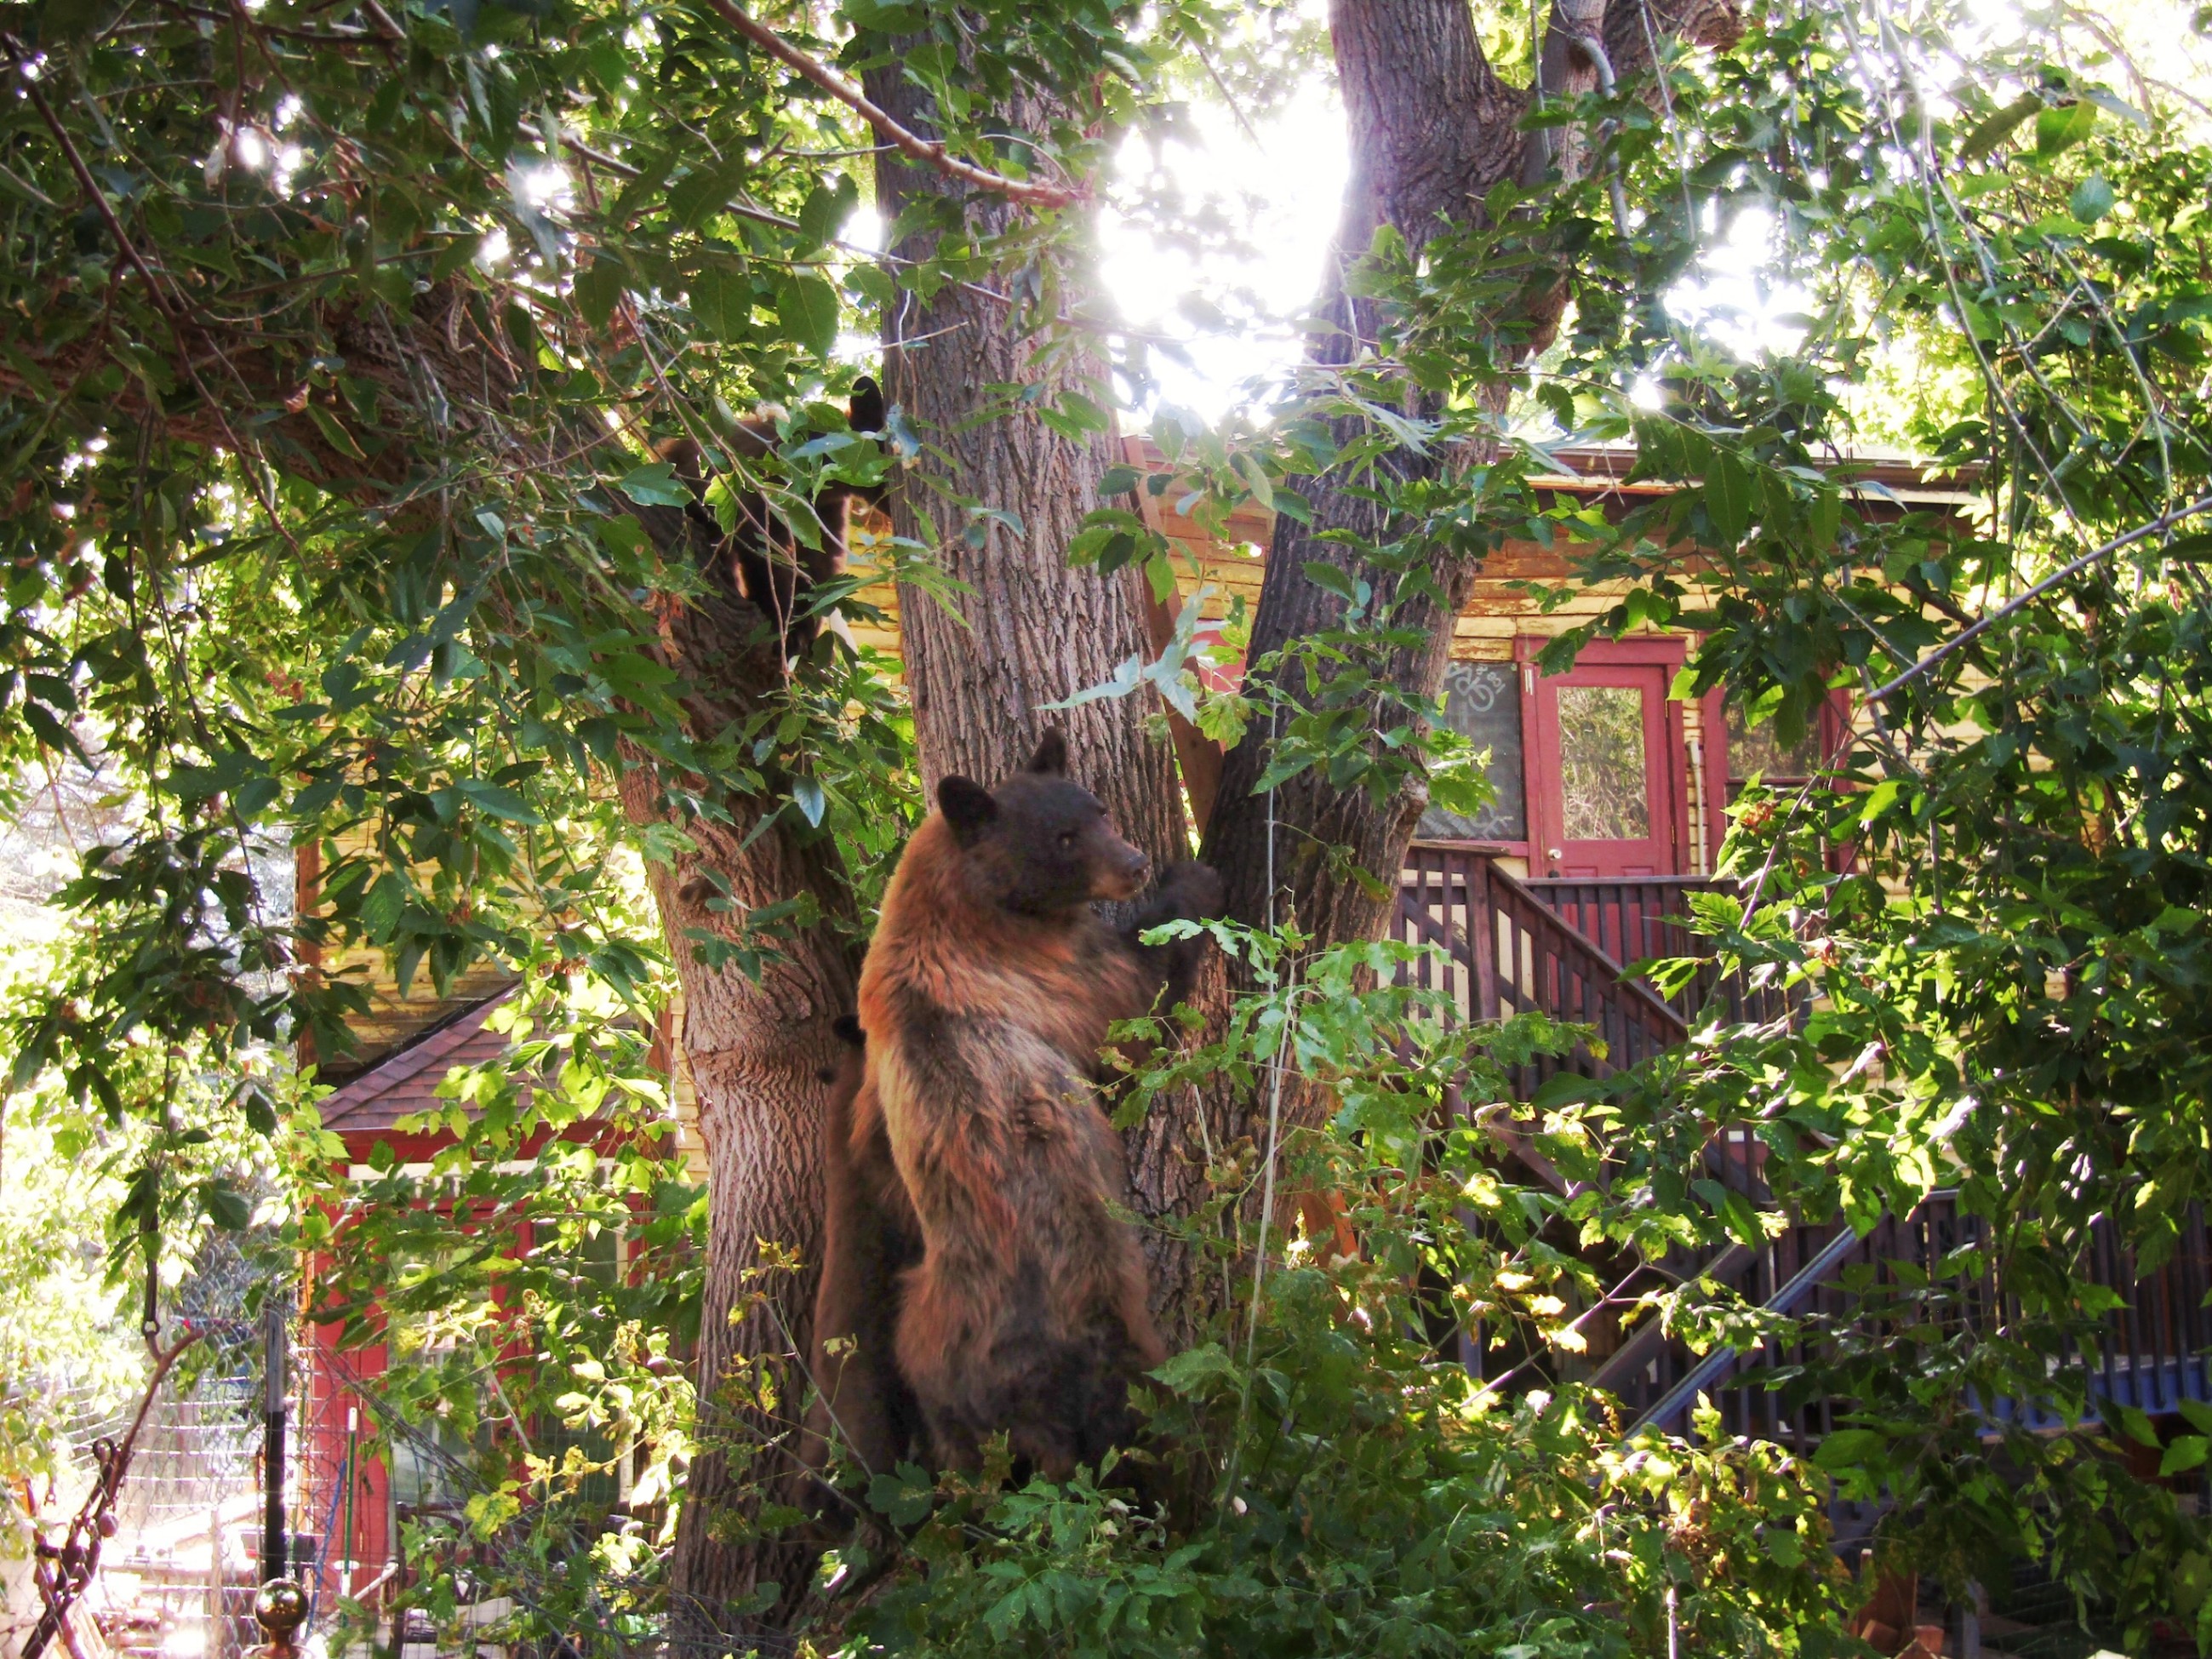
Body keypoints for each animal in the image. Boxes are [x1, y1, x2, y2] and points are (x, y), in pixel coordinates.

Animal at [658, 377, 886, 655]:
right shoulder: (761, 491)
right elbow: (766, 557)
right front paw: (780, 624)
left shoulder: (823, 514)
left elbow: (817, 565)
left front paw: (805, 630)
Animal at [855, 729, 1222, 1481]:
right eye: (1063, 837)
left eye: (1098, 807)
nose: (1135, 863)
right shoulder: (1046, 971)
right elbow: (1131, 1007)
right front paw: (1195, 877)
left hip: (936, 1385)